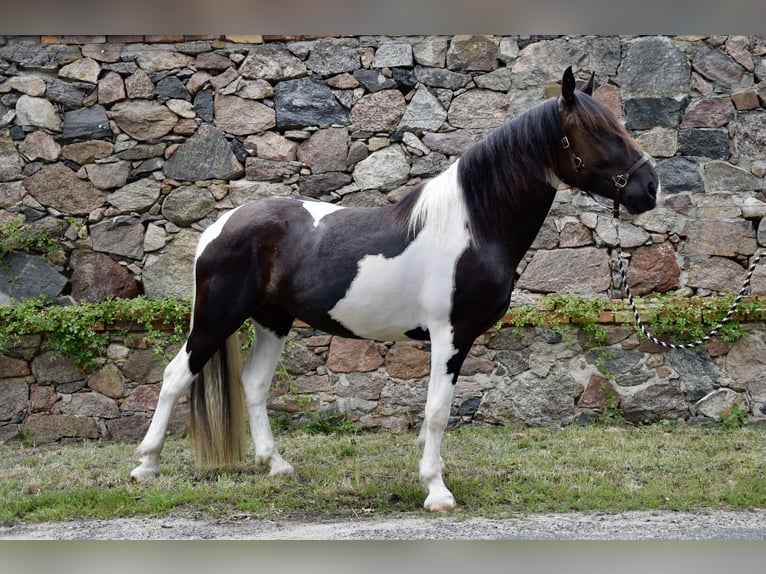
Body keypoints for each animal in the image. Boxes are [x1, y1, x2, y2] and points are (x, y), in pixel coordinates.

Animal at [132, 67, 660, 512]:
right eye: (597, 131)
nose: (650, 188)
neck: (473, 226)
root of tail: (219, 226)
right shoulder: (450, 335)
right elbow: (438, 412)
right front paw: (437, 492)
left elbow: (433, 415)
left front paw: (430, 473)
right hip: (217, 317)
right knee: (175, 377)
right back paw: (146, 465)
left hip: (272, 321)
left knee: (254, 384)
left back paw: (276, 466)